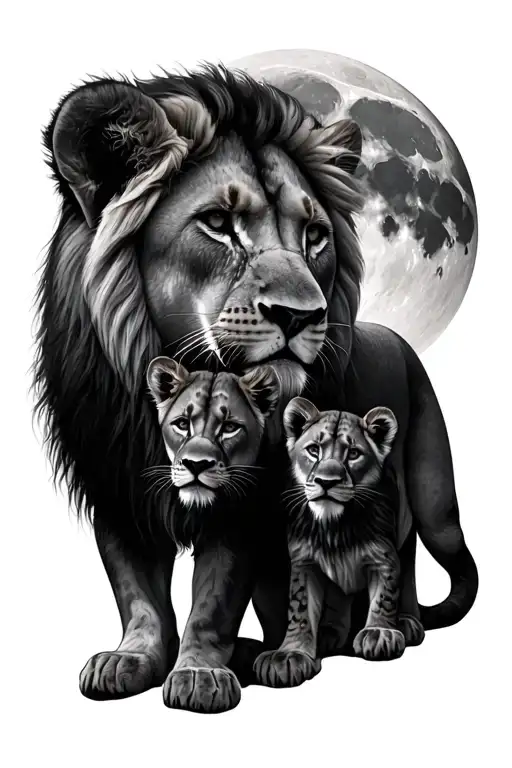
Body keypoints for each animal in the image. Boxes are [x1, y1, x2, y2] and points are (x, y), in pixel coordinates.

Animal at [34, 64, 478, 714]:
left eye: (314, 235)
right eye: (218, 224)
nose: (303, 315)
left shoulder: (247, 500)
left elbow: (215, 596)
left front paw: (198, 672)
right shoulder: (114, 486)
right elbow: (136, 590)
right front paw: (134, 659)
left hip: (431, 493)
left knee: (406, 543)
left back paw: (397, 624)